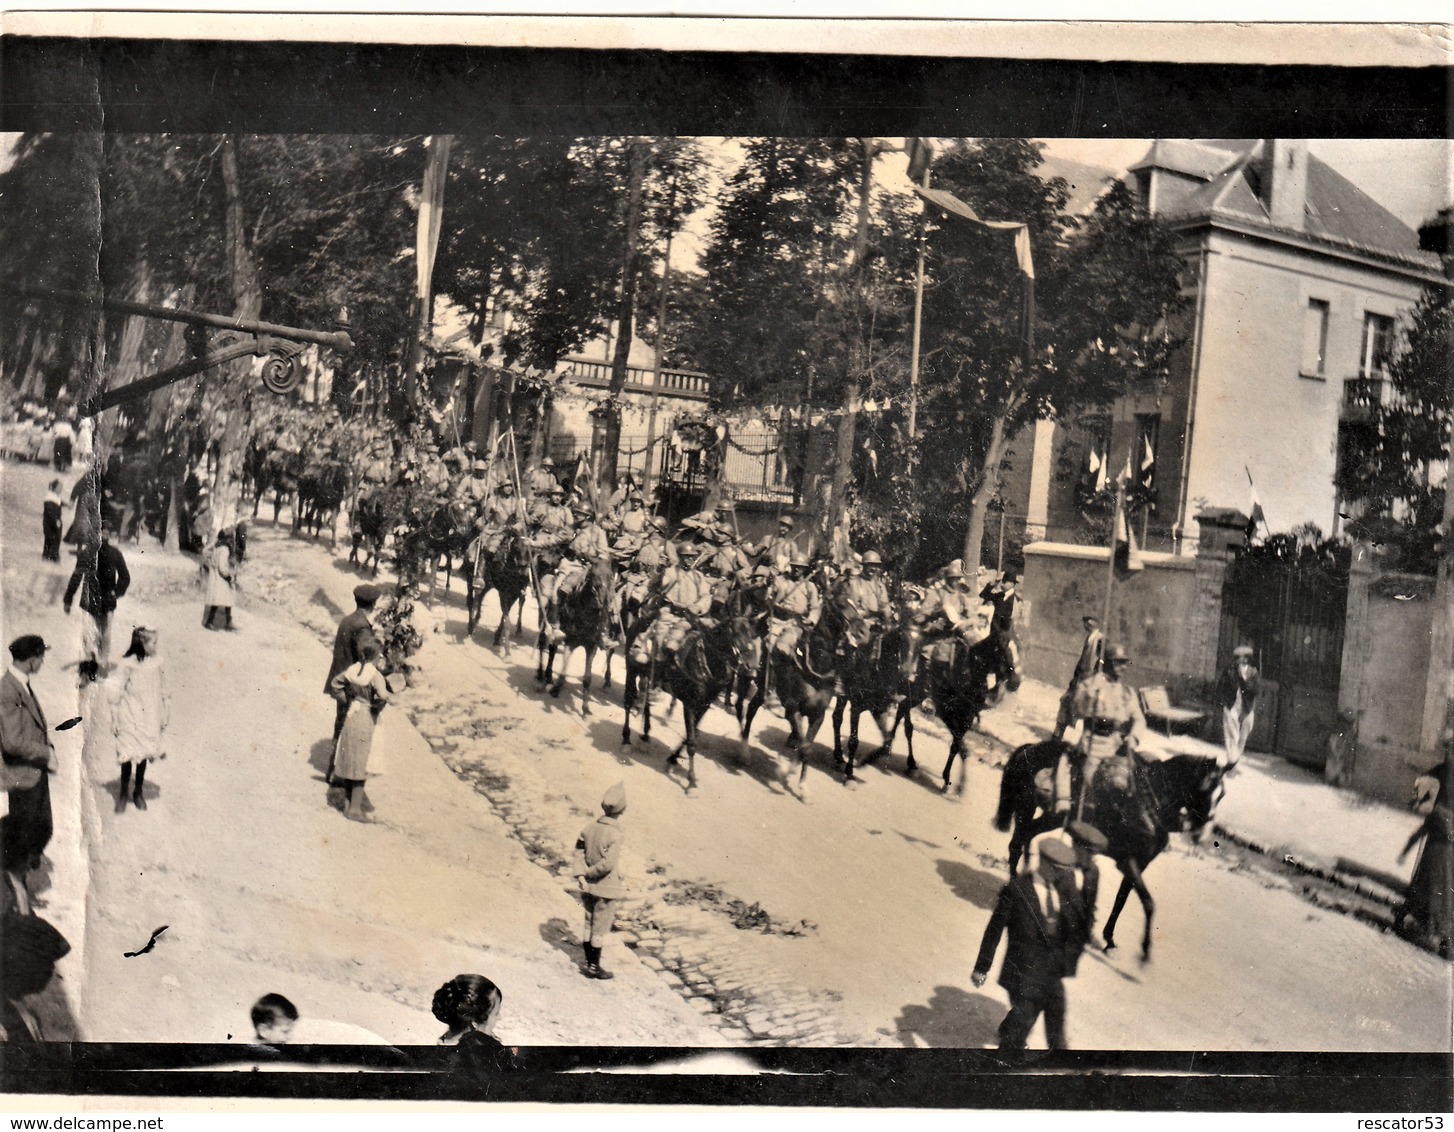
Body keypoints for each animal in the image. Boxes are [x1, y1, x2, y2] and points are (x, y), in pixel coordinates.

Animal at [622, 610, 738, 796]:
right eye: (735, 633)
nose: (750, 668)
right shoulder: (690, 703)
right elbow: (691, 741)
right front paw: (691, 781)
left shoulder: (704, 705)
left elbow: (692, 735)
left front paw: (673, 759)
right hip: (632, 668)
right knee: (628, 701)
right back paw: (626, 740)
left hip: (648, 673)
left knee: (645, 700)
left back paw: (646, 734)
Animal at [988, 738, 1227, 959]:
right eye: (1206, 788)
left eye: (1222, 796)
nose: (1201, 834)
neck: (1150, 803)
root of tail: (1030, 748)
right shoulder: (1128, 861)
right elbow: (1148, 902)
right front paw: (1143, 948)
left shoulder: (1138, 864)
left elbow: (1122, 899)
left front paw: (1108, 939)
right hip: (1033, 810)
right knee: (1018, 842)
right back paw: (1017, 885)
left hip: (1044, 815)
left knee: (1026, 836)